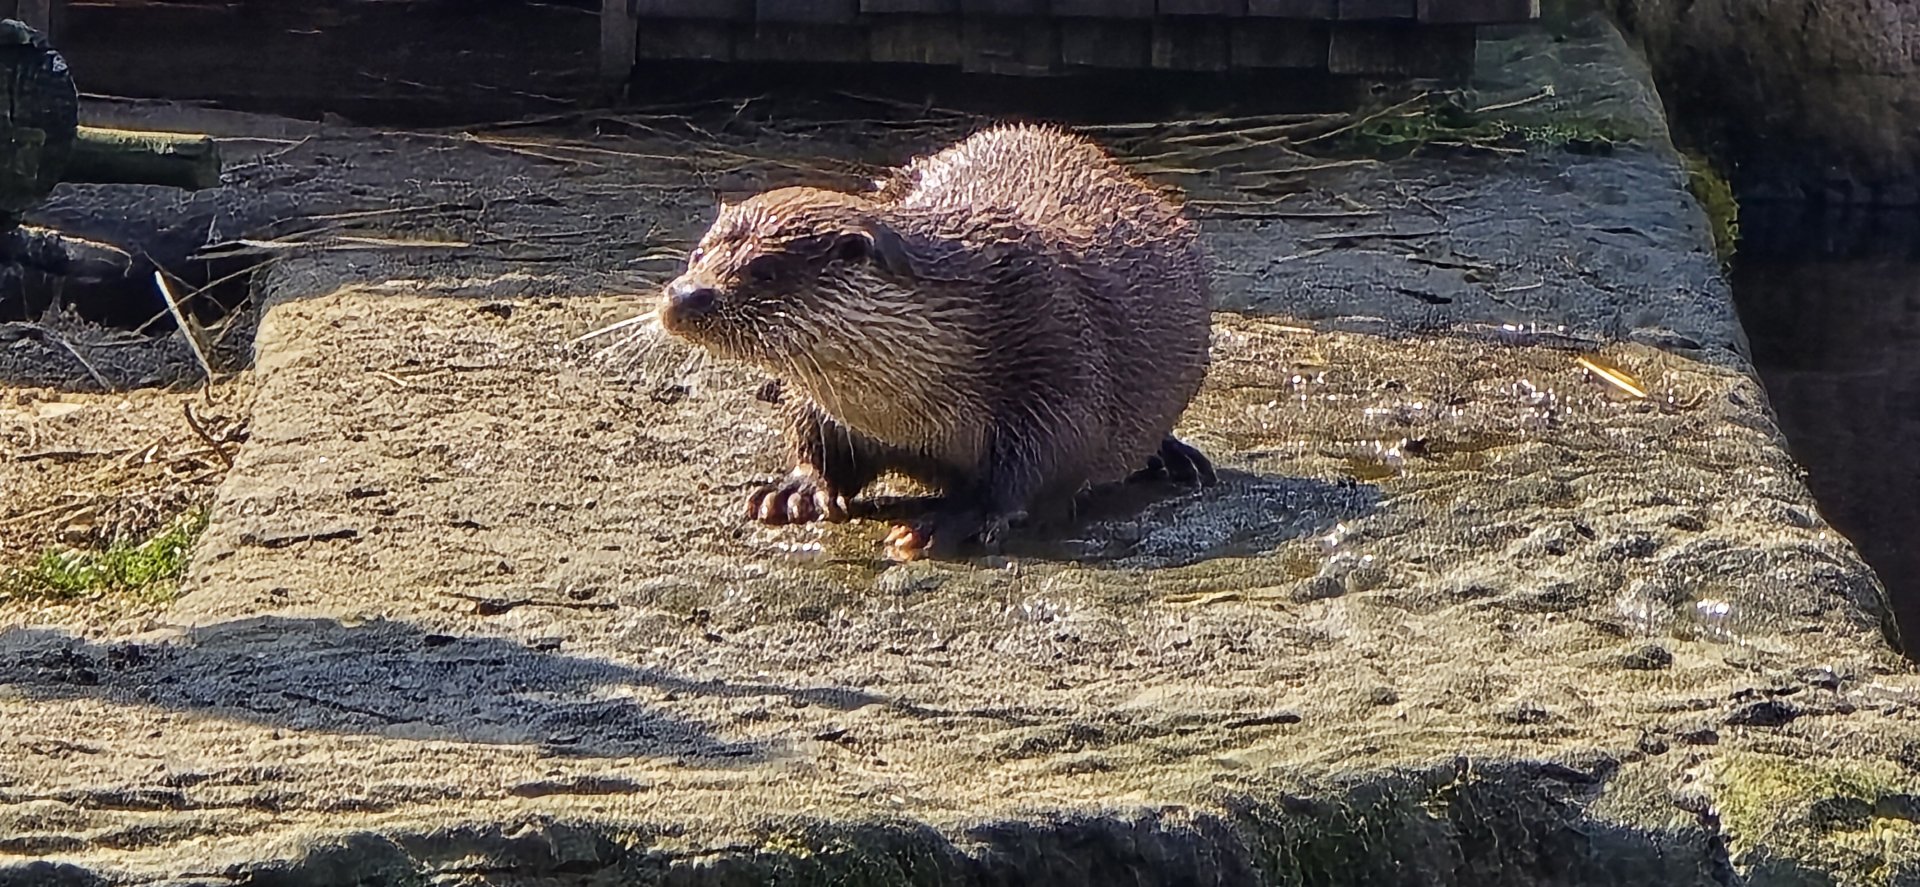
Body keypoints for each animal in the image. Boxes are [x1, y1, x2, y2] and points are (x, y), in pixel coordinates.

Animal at [658, 122, 1215, 560]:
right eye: (697, 254)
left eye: (764, 271)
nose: (684, 295)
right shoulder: (825, 404)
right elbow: (817, 438)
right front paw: (796, 489)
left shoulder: (1054, 350)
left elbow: (1046, 462)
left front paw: (954, 520)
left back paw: (1176, 461)